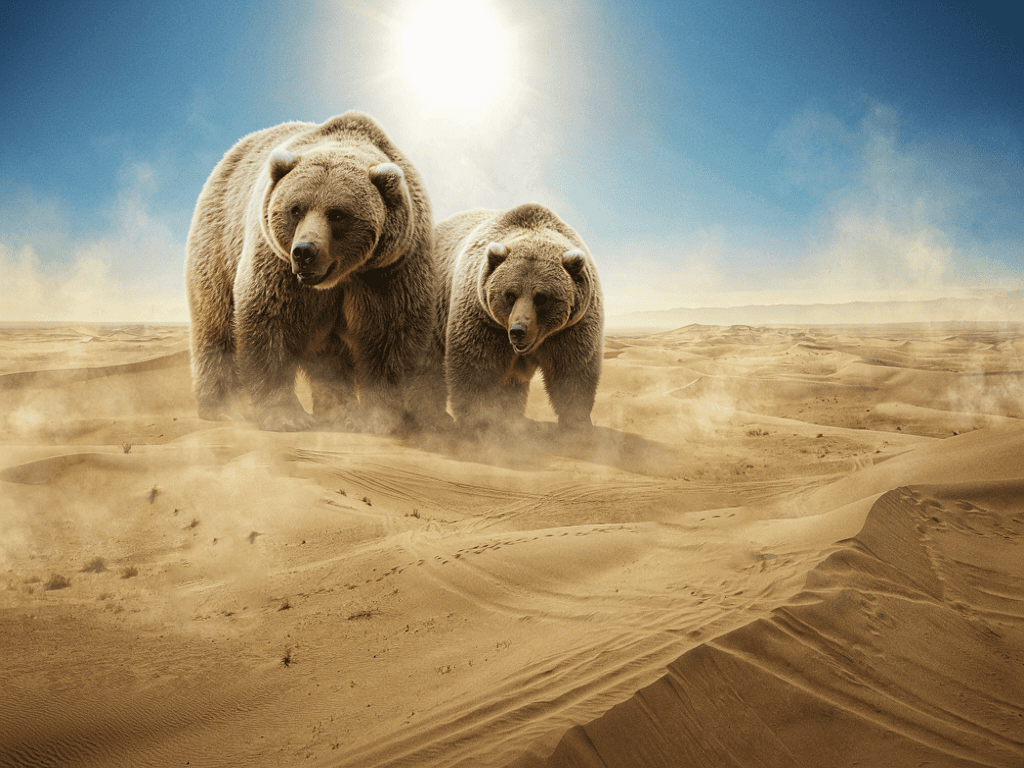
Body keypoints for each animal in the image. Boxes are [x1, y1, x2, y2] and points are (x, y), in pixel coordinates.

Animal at [185, 111, 446, 433]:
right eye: (295, 209)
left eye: (338, 214)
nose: (305, 251)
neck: (343, 275)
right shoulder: (277, 265)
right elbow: (270, 322)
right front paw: (286, 415)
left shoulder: (389, 270)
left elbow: (389, 335)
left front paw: (375, 418)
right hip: (219, 241)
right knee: (215, 323)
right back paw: (221, 406)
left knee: (329, 355)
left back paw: (336, 409)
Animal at [433, 202, 604, 433]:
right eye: (510, 294)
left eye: (541, 297)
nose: (517, 331)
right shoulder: (483, 319)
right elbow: (475, 367)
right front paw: (476, 420)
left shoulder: (572, 328)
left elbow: (572, 371)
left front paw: (577, 423)